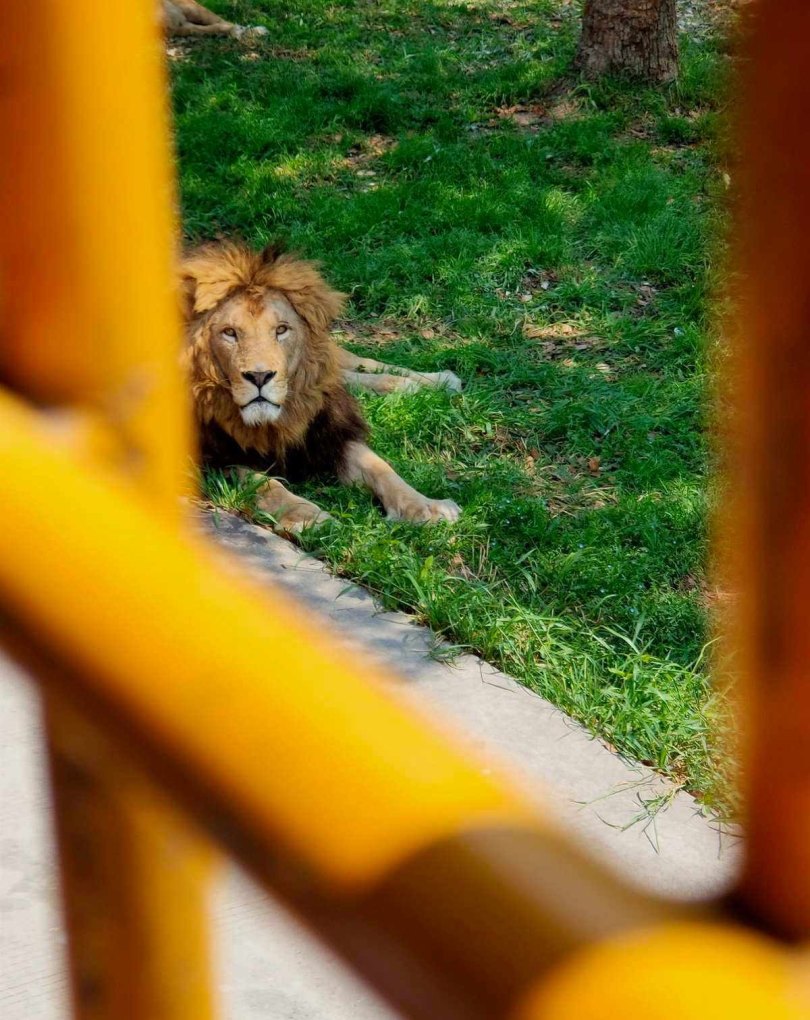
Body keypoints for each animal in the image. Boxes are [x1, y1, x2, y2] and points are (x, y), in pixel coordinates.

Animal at [182, 240, 461, 534]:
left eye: (281, 330)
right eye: (229, 333)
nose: (260, 376)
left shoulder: (328, 430)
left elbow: (380, 467)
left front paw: (426, 507)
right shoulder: (214, 457)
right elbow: (264, 484)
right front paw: (307, 517)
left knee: (357, 364)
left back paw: (436, 381)